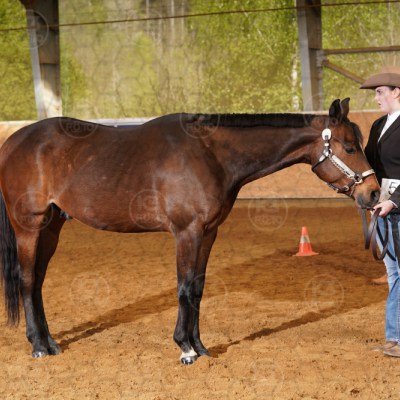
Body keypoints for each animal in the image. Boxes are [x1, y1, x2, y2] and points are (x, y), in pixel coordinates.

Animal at [0, 98, 379, 364]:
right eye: (349, 147)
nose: (374, 193)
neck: (210, 154)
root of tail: (13, 142)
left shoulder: (208, 233)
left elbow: (197, 288)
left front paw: (200, 345)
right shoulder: (187, 232)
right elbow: (184, 288)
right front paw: (185, 349)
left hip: (51, 228)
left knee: (38, 283)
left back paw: (50, 342)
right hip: (29, 226)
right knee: (27, 281)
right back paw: (38, 346)